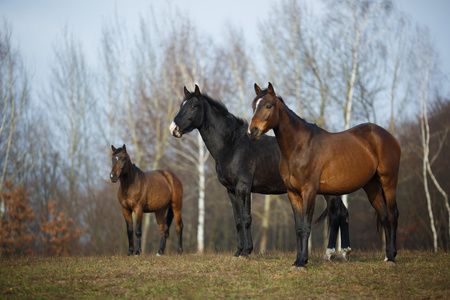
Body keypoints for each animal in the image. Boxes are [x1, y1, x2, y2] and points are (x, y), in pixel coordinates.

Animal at [169, 85, 352, 258]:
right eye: (181, 105)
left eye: (193, 106)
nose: (173, 128)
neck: (232, 144)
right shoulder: (231, 190)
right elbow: (237, 220)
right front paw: (238, 252)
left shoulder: (243, 188)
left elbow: (246, 218)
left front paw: (246, 251)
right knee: (342, 213)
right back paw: (344, 252)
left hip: (328, 192)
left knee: (335, 215)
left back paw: (330, 254)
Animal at [246, 82, 400, 270]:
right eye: (253, 106)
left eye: (268, 105)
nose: (252, 131)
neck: (299, 147)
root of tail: (388, 136)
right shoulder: (293, 193)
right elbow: (299, 228)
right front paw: (298, 261)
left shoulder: (309, 192)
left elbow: (306, 227)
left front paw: (302, 263)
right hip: (372, 187)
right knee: (384, 216)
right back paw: (387, 256)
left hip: (389, 182)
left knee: (392, 216)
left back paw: (391, 258)